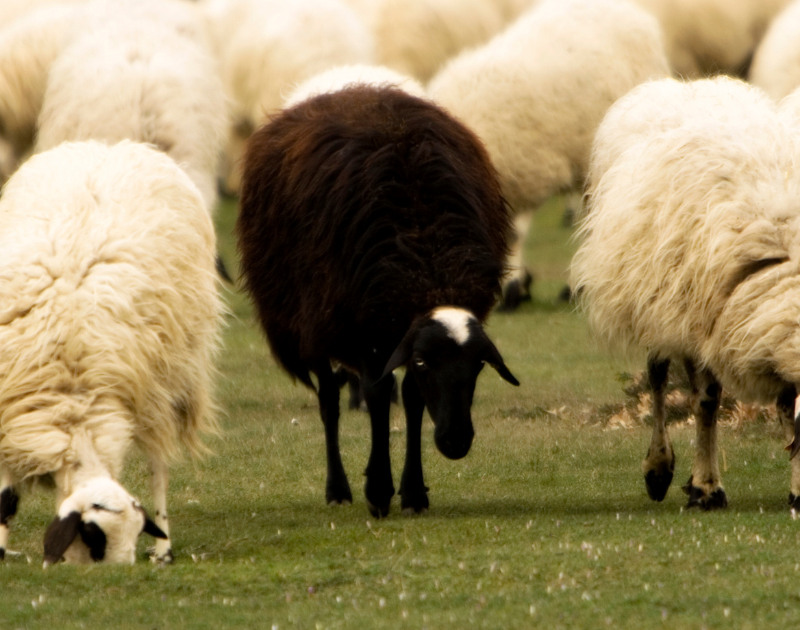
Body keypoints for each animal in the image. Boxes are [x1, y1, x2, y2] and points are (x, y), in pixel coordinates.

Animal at [0, 141, 222, 564]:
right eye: (92, 536)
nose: (119, 571)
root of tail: (110, 144)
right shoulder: (16, 408)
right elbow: (6, 495)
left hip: (170, 376)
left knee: (158, 465)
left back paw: (164, 546)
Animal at [432, 0, 668, 312]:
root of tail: (624, 9)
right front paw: (522, 284)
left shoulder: (518, 174)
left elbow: (513, 235)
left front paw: (513, 290)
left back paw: (574, 288)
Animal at [568, 78, 800, 512]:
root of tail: (688, 84)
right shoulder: (704, 315)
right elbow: (707, 401)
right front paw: (705, 488)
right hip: (659, 298)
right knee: (659, 377)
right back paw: (659, 469)